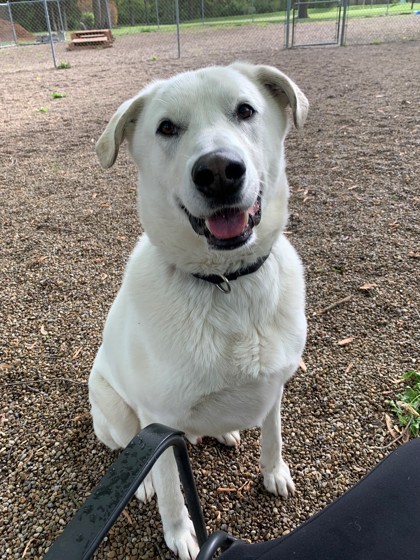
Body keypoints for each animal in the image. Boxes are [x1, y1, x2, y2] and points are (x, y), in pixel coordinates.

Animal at [88, 62, 306, 560]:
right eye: (167, 127)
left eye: (245, 110)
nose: (219, 171)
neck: (226, 282)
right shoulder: (157, 420)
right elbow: (172, 491)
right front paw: (179, 535)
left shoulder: (276, 386)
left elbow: (273, 435)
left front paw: (274, 473)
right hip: (114, 408)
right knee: (129, 448)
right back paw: (144, 485)